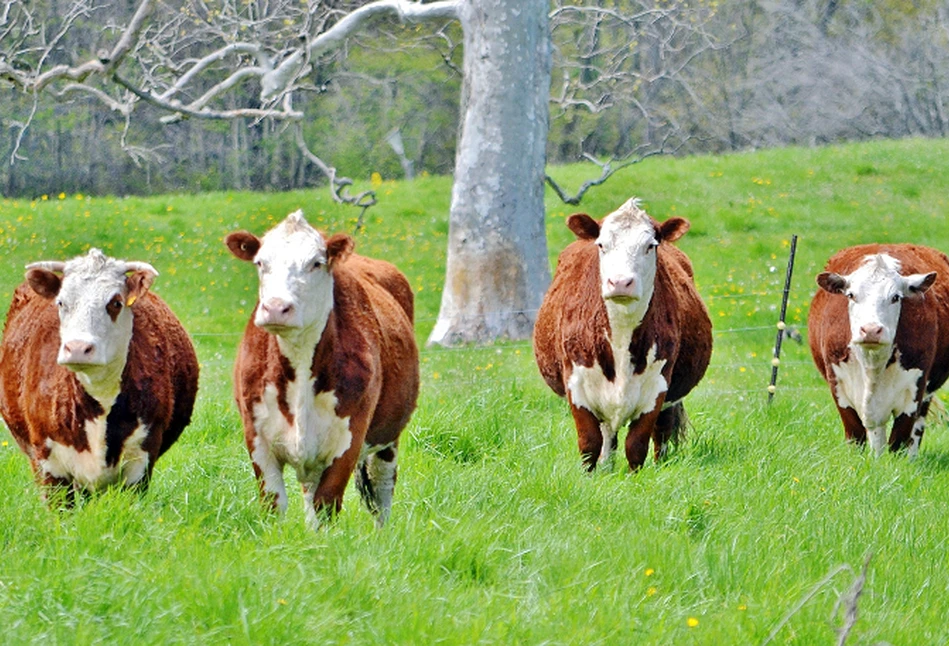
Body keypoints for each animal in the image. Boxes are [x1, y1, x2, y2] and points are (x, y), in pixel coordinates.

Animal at [226, 210, 418, 528]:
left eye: (316, 263)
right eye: (260, 263)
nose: (276, 308)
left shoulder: (348, 441)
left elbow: (326, 506)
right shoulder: (257, 439)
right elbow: (274, 505)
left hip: (388, 438)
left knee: (382, 489)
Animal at [532, 197, 712, 470]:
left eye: (650, 246)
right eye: (602, 244)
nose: (620, 282)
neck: (621, 337)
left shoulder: (656, 387)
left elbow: (636, 446)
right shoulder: (576, 383)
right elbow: (589, 444)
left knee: (661, 435)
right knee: (608, 436)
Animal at [808, 244, 948, 460]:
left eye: (895, 297)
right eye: (851, 295)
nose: (871, 330)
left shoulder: (914, 391)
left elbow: (899, 443)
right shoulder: (839, 387)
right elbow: (856, 437)